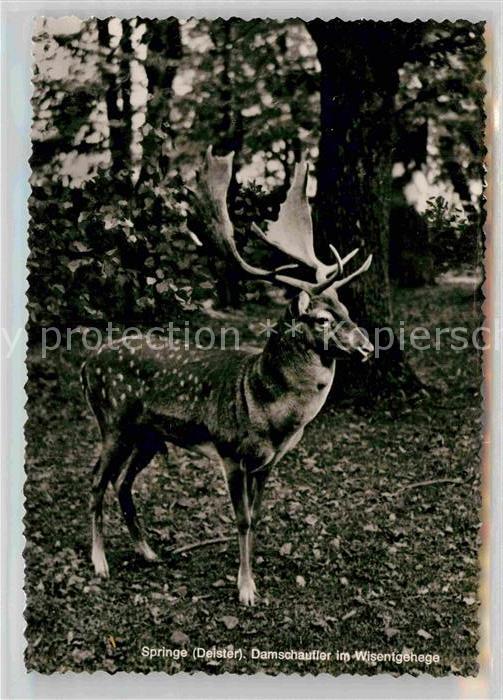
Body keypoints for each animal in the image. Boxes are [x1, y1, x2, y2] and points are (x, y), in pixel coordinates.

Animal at [81, 147, 374, 606]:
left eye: (346, 309)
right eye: (323, 318)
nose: (367, 347)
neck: (268, 411)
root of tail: (86, 363)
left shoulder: (270, 460)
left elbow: (258, 515)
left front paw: (254, 573)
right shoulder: (231, 451)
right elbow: (241, 519)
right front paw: (246, 589)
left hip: (149, 435)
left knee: (122, 484)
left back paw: (149, 552)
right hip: (113, 421)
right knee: (96, 482)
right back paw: (100, 562)